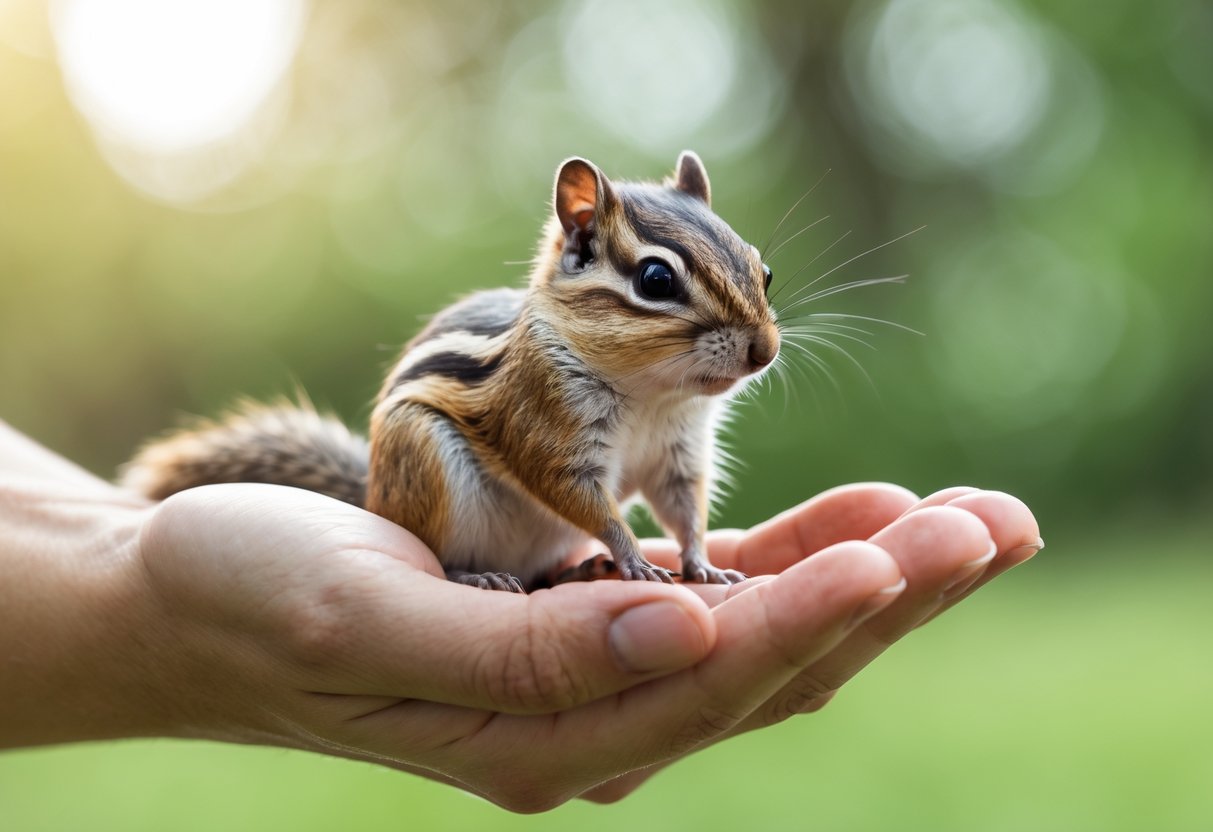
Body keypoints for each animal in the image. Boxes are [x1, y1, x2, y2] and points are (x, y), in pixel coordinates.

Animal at [121, 151, 781, 592]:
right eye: (656, 279)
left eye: (763, 270)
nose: (765, 351)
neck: (652, 394)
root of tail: (375, 499)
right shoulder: (544, 424)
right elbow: (582, 498)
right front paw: (635, 560)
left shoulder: (678, 450)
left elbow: (684, 508)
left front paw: (701, 564)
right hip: (425, 458)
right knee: (439, 555)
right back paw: (479, 576)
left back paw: (577, 570)